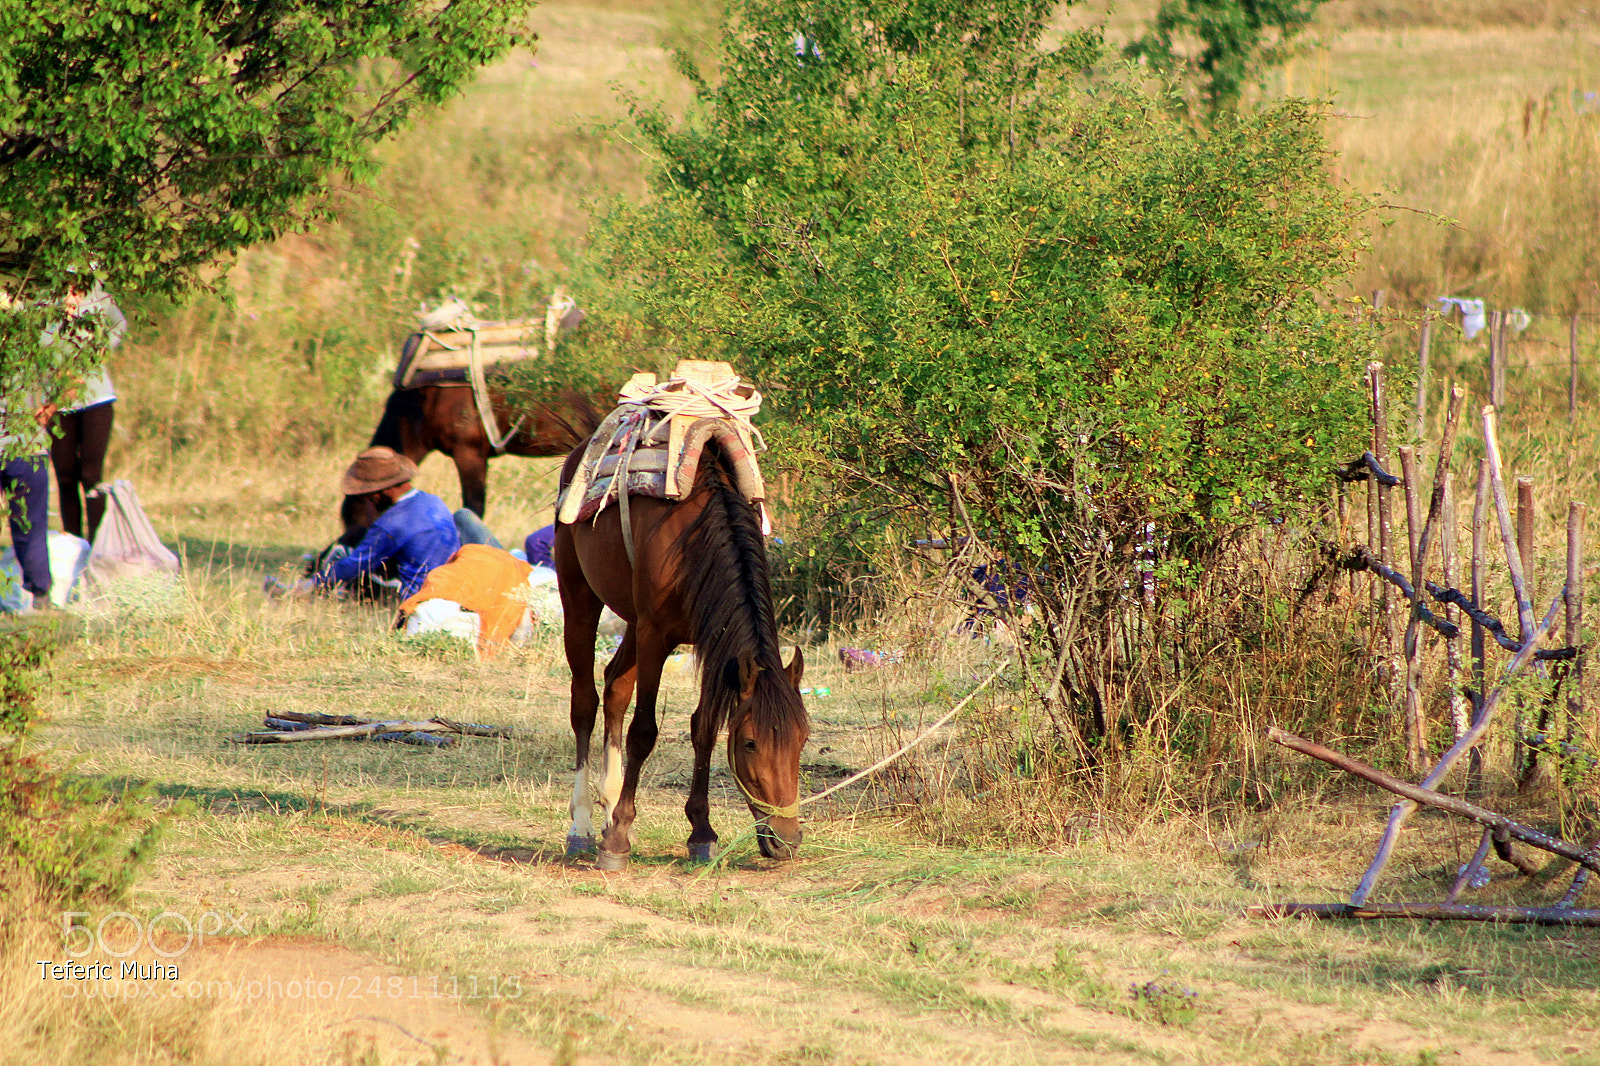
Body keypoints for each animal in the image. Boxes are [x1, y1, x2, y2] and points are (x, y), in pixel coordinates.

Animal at [554, 436, 809, 869]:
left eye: (803, 739)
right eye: (750, 743)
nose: (786, 841)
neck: (694, 538)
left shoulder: (714, 640)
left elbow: (703, 728)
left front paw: (701, 832)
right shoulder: (655, 636)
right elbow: (643, 732)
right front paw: (618, 841)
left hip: (632, 622)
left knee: (615, 686)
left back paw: (608, 807)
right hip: (580, 599)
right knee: (585, 703)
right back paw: (584, 825)